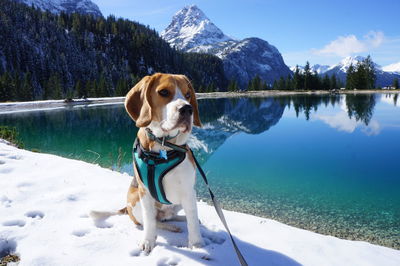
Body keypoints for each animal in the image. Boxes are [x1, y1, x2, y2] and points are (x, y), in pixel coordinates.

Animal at [123, 72, 205, 254]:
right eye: (164, 92)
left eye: (188, 94)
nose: (187, 109)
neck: (163, 145)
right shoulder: (144, 193)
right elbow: (149, 221)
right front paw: (147, 241)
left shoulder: (189, 191)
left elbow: (193, 220)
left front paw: (196, 244)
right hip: (134, 200)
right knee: (155, 222)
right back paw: (169, 228)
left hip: (179, 202)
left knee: (172, 217)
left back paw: (179, 220)